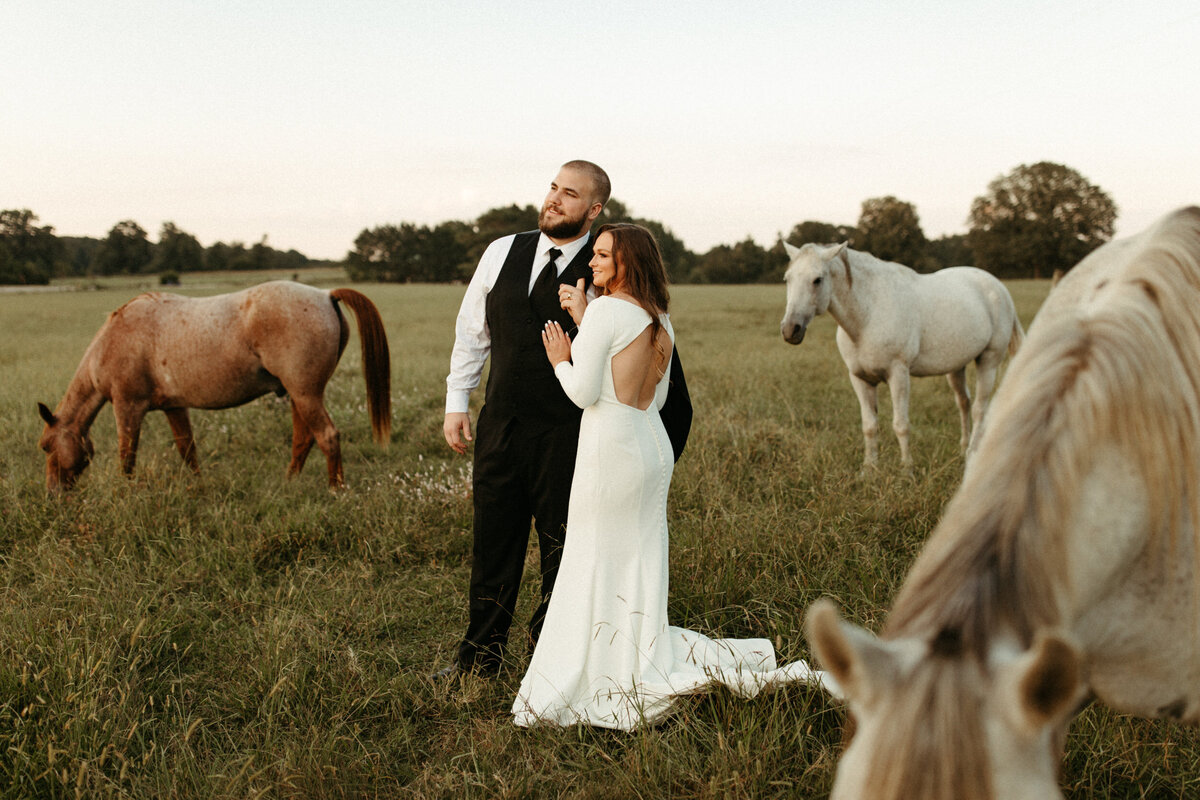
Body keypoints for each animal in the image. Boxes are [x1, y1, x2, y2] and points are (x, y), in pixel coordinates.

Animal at [37, 281, 391, 494]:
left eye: (46, 446)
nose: (54, 494)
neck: (113, 340)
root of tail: (325, 294)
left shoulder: (128, 407)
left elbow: (127, 457)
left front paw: (126, 494)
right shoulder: (174, 406)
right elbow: (187, 450)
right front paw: (199, 486)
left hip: (306, 395)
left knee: (327, 437)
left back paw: (335, 490)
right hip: (299, 396)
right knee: (303, 440)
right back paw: (288, 484)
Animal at [782, 244, 1027, 470]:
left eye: (817, 280)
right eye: (787, 279)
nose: (790, 330)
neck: (869, 314)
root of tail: (998, 287)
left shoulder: (898, 374)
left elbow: (901, 425)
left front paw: (907, 470)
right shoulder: (860, 379)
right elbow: (869, 426)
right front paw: (869, 470)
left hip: (989, 361)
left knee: (979, 409)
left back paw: (972, 455)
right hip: (956, 366)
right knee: (964, 403)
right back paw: (962, 449)